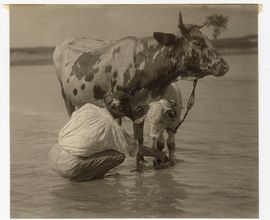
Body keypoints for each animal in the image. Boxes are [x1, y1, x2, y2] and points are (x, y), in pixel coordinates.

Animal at [53, 11, 230, 164]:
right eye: (197, 42)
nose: (224, 66)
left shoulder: (141, 108)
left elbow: (139, 139)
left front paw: (143, 164)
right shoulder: (119, 103)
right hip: (66, 96)